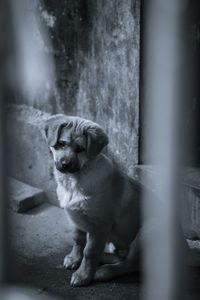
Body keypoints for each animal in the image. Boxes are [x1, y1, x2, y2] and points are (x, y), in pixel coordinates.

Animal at [43, 114, 188, 286]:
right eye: (61, 144)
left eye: (80, 149)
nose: (65, 164)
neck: (75, 179)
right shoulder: (77, 218)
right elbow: (78, 240)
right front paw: (75, 258)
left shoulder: (100, 225)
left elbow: (90, 251)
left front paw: (83, 275)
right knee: (122, 257)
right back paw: (103, 259)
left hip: (151, 228)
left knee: (131, 264)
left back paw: (105, 271)